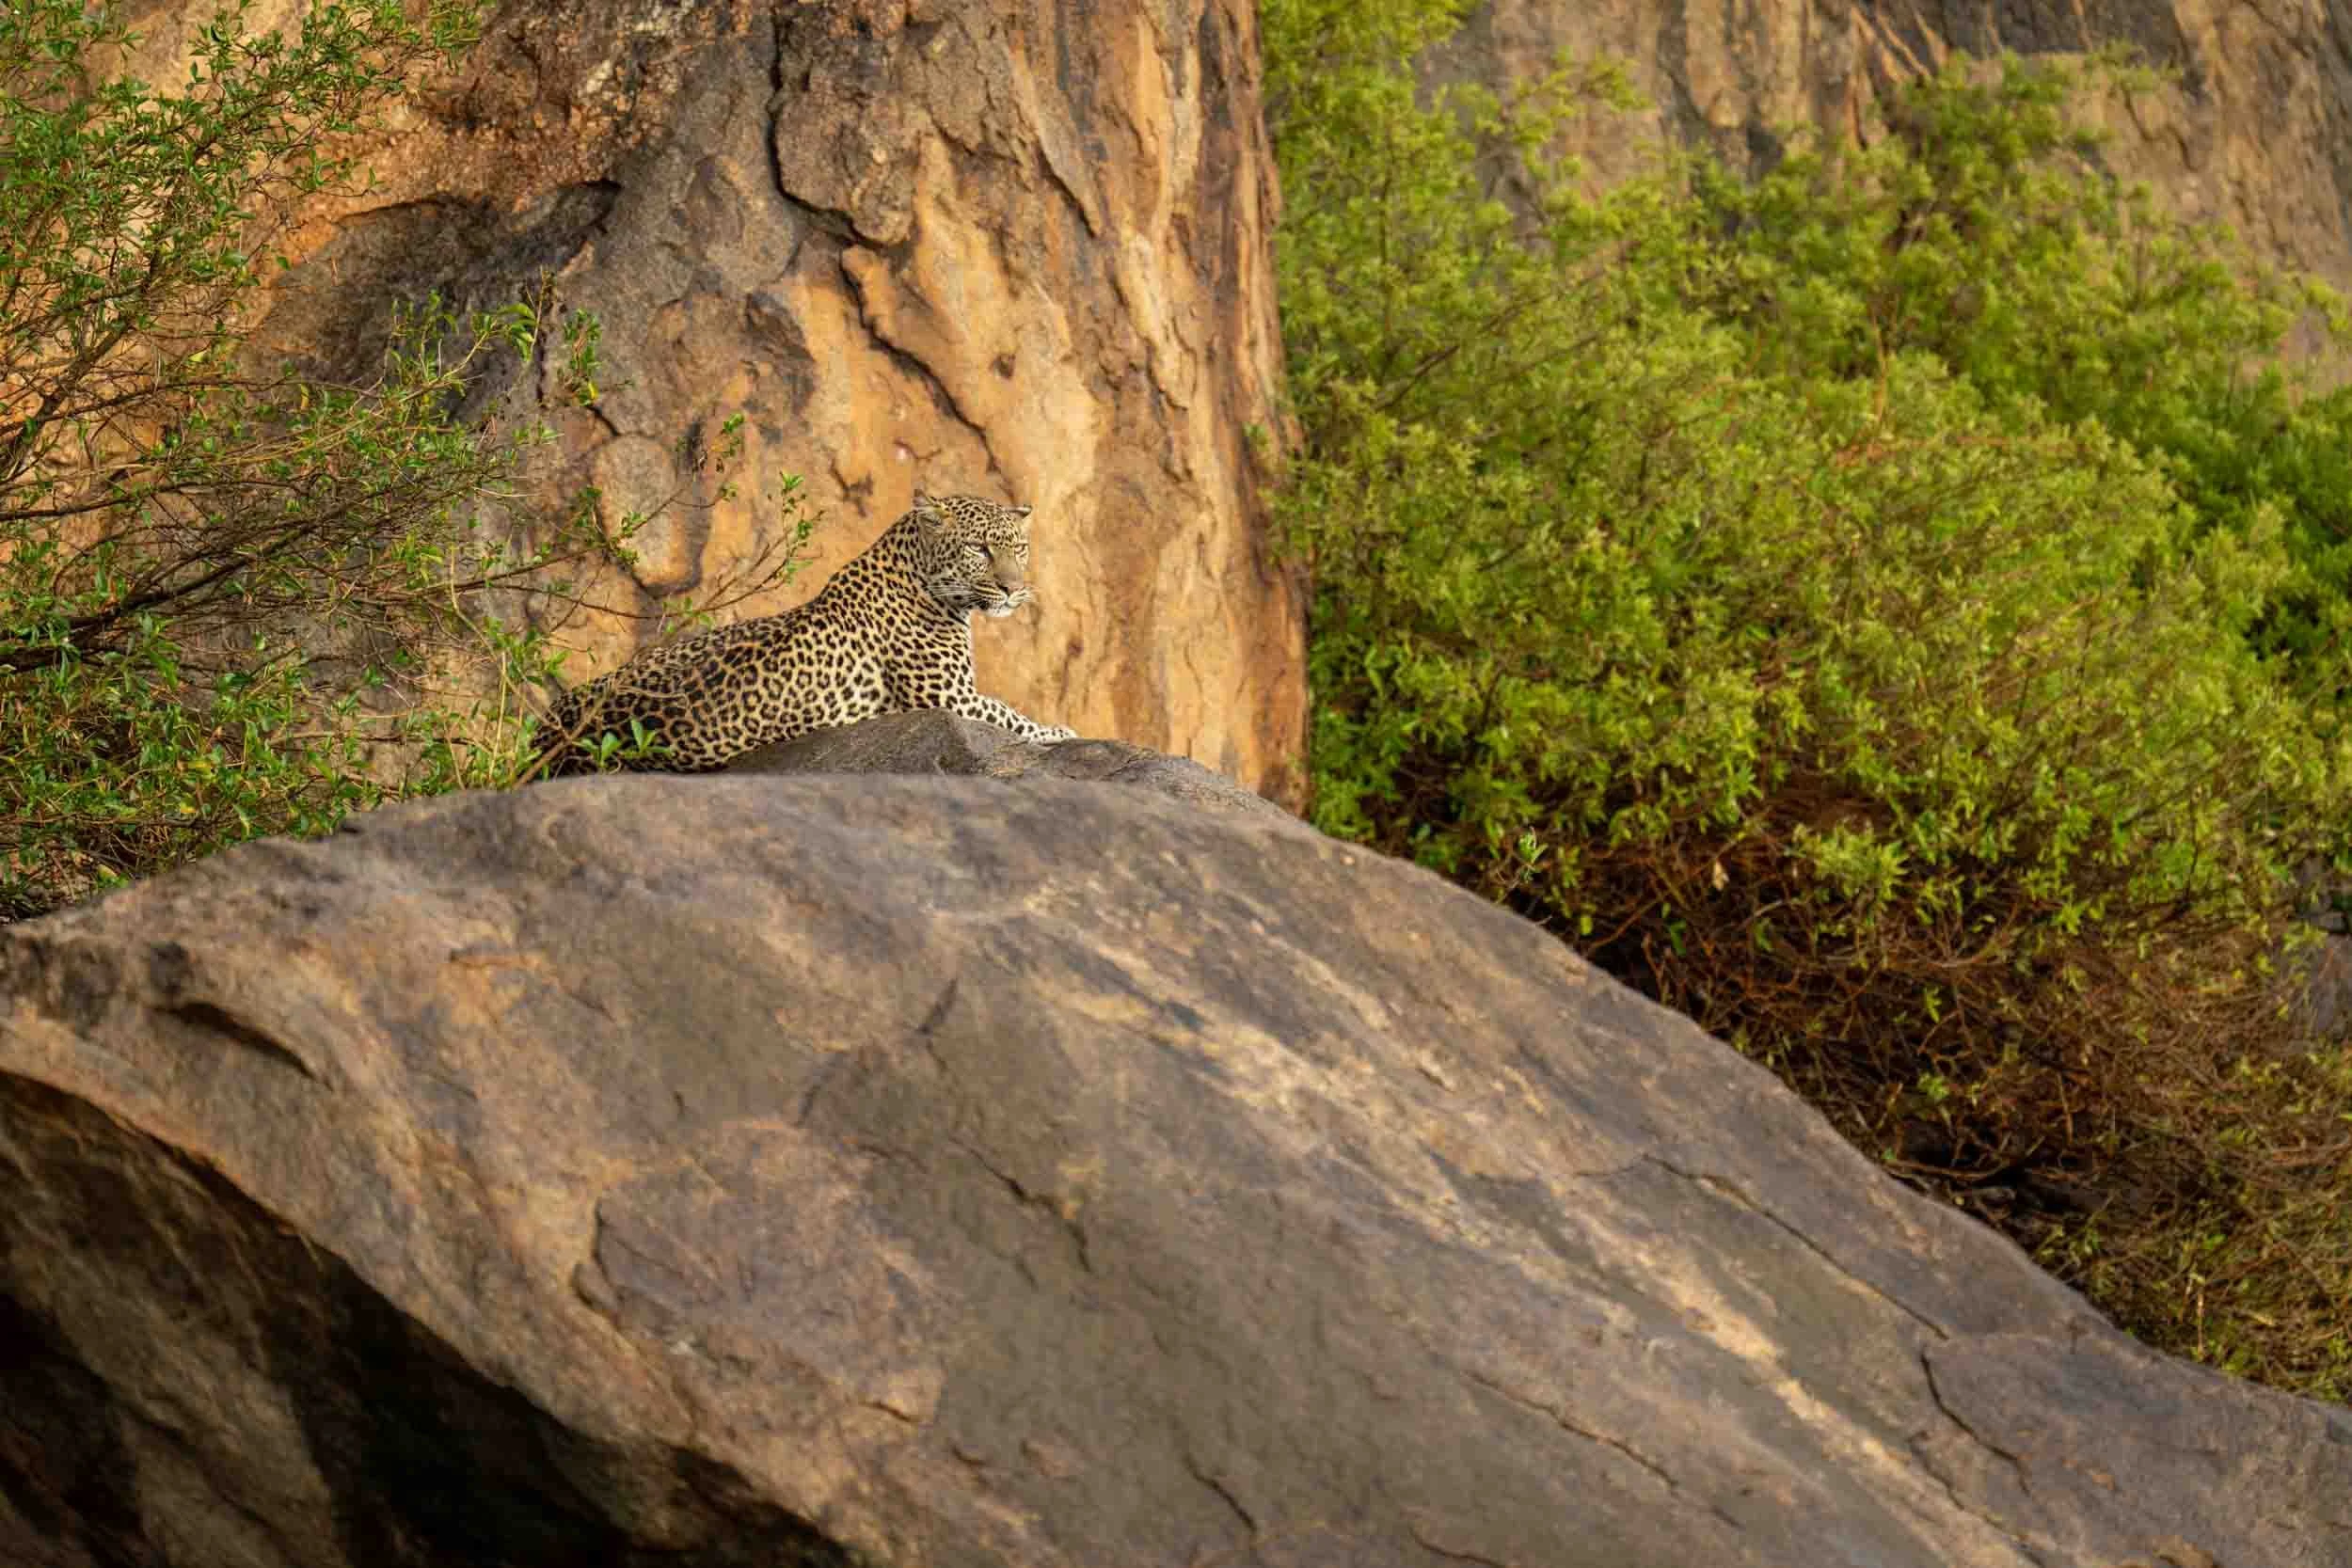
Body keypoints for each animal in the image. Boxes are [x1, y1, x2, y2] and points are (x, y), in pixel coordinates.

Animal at [534, 491, 1077, 776]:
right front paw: (1060, 732)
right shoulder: (950, 699)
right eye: (979, 549)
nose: (1013, 589)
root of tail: (548, 733)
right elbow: (1011, 717)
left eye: (1019, 548)